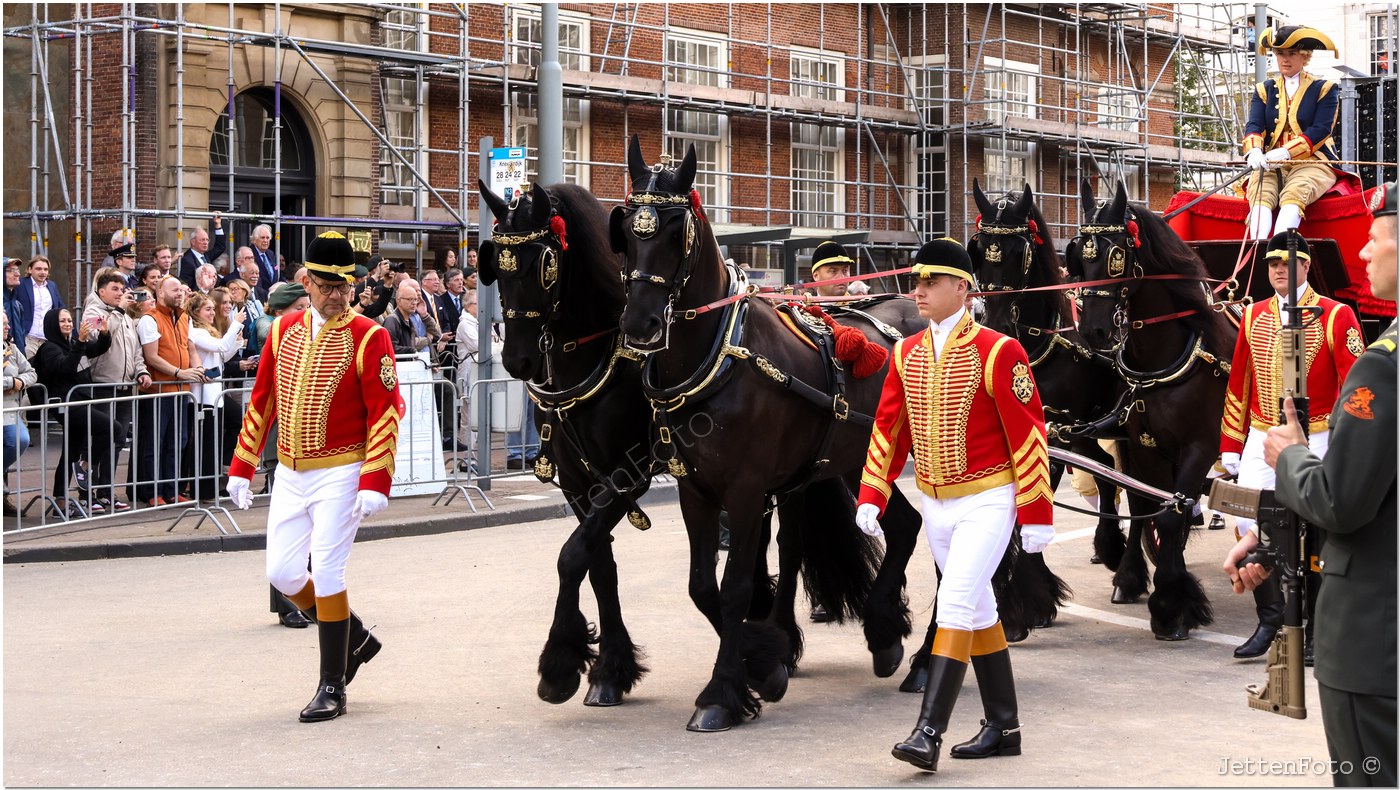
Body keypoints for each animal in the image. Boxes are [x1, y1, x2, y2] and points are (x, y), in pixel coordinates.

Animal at [616, 138, 929, 733]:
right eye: (626, 227)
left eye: (676, 230)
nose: (639, 324)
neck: (721, 354)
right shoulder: (696, 490)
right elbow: (702, 585)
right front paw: (764, 661)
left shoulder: (745, 489)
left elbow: (737, 585)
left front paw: (723, 692)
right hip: (857, 463)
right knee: (906, 527)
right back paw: (885, 635)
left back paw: (926, 654)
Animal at [1064, 182, 1232, 638]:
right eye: (1078, 256)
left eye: (1116, 257)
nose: (1093, 331)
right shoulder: (1143, 446)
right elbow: (1144, 508)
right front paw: (1143, 583)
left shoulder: (1200, 447)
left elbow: (1172, 517)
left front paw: (1172, 605)